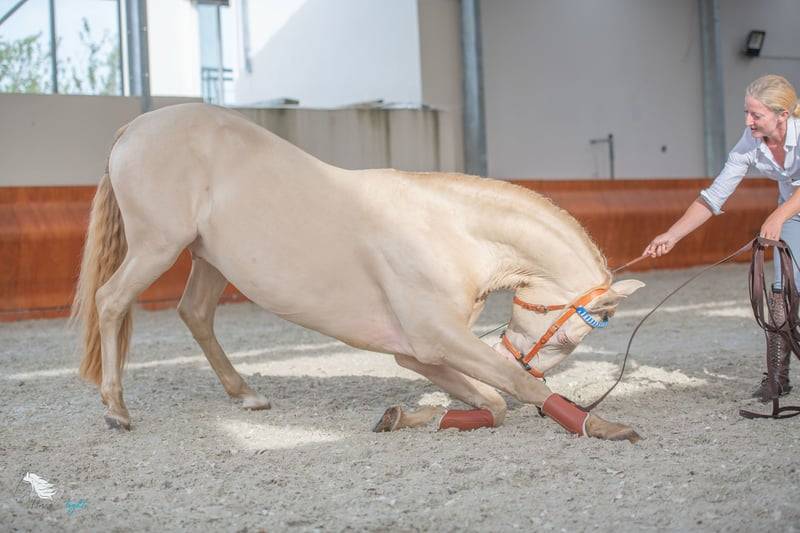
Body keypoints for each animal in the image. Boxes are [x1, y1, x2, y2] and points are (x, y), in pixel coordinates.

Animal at [72, 103, 644, 442]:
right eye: (569, 337)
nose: (525, 359)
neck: (450, 230)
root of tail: (137, 126)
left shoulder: (416, 352)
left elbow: (492, 401)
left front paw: (409, 417)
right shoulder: (435, 340)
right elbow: (510, 389)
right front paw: (603, 424)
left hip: (209, 258)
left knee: (195, 314)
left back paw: (247, 395)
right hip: (157, 246)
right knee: (111, 302)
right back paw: (116, 410)